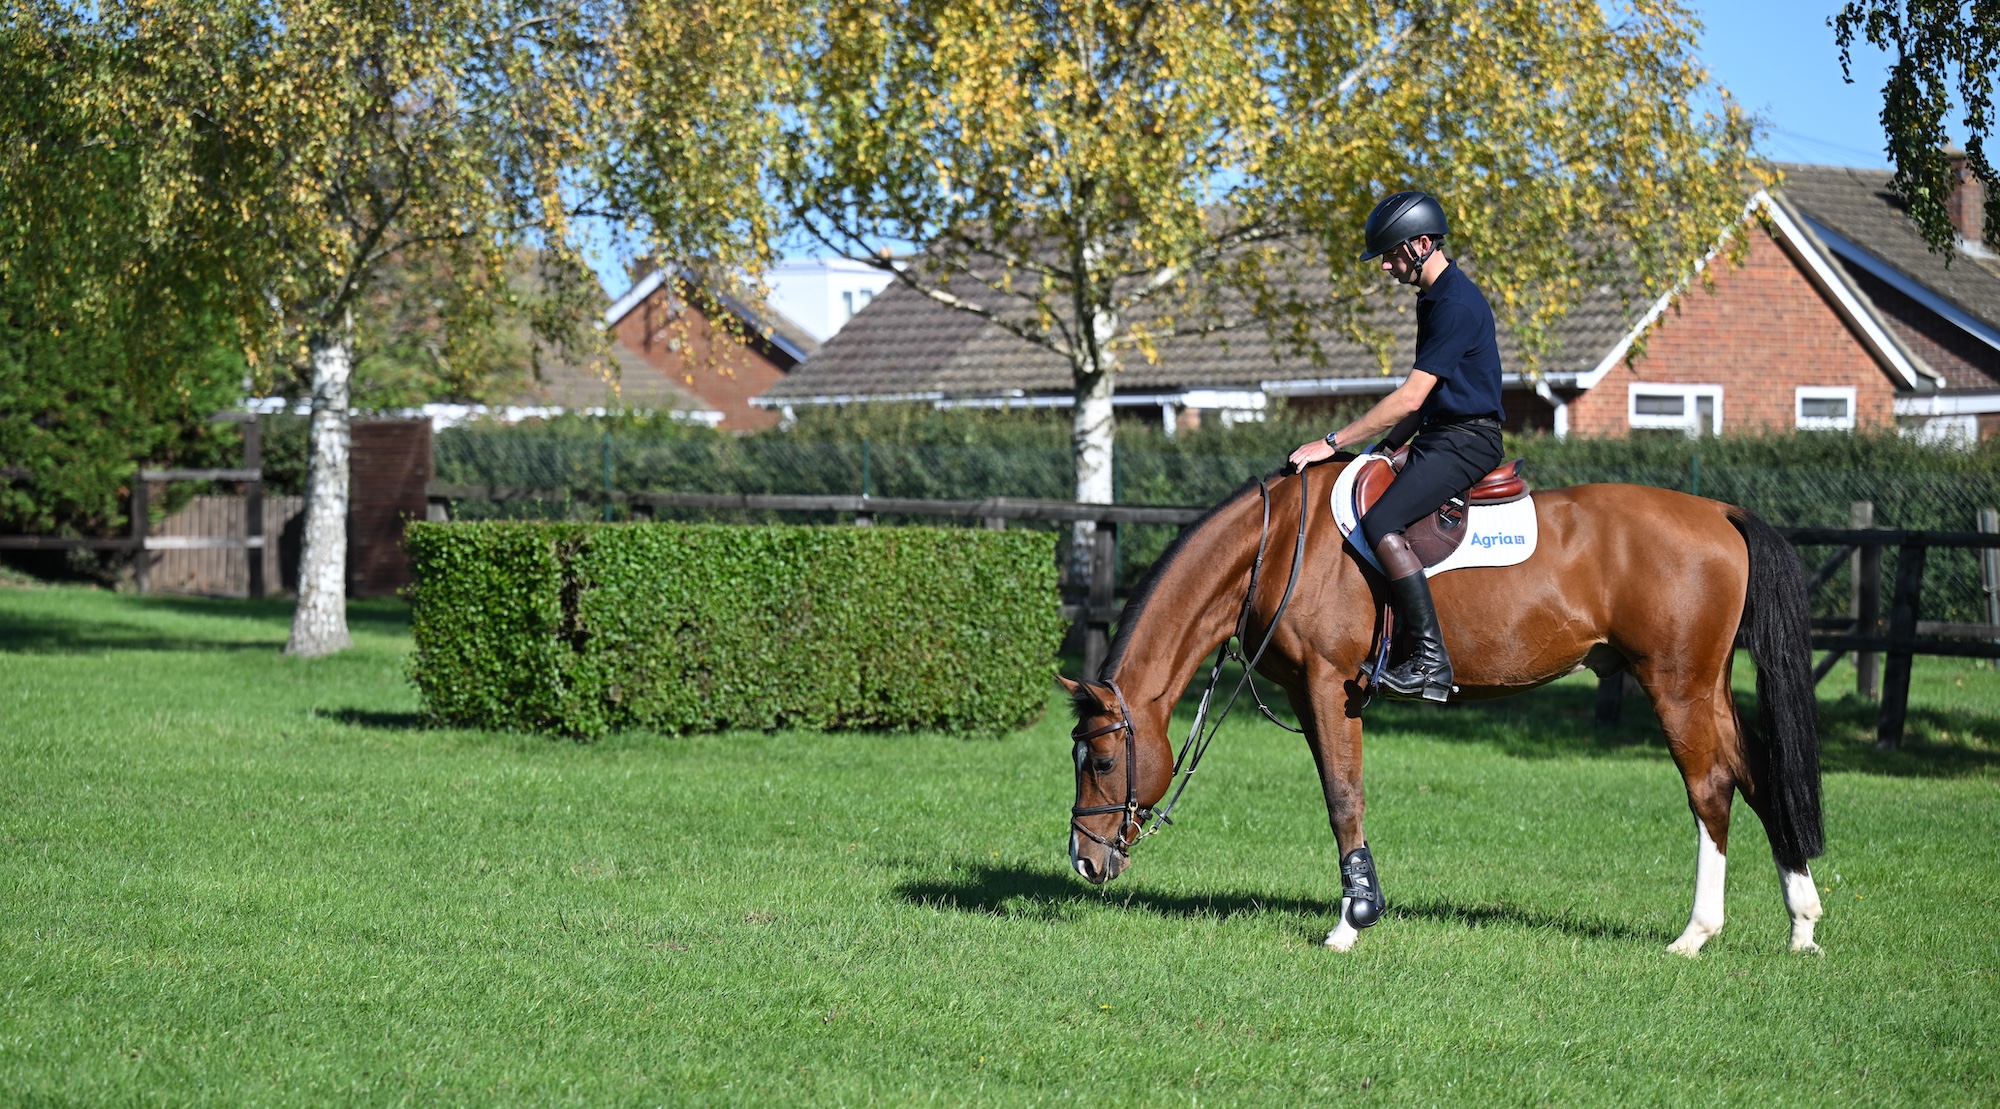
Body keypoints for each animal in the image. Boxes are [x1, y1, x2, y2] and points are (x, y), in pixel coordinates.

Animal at [1061, 461, 1825, 956]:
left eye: (1100, 761)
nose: (1084, 861)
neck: (1276, 546)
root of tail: (1718, 512)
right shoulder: (1311, 695)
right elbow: (1341, 793)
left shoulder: (1326, 685)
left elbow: (1342, 797)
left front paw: (1351, 922)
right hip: (1707, 688)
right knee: (1757, 777)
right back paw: (1802, 923)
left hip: (1675, 686)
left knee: (1711, 790)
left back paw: (1696, 933)